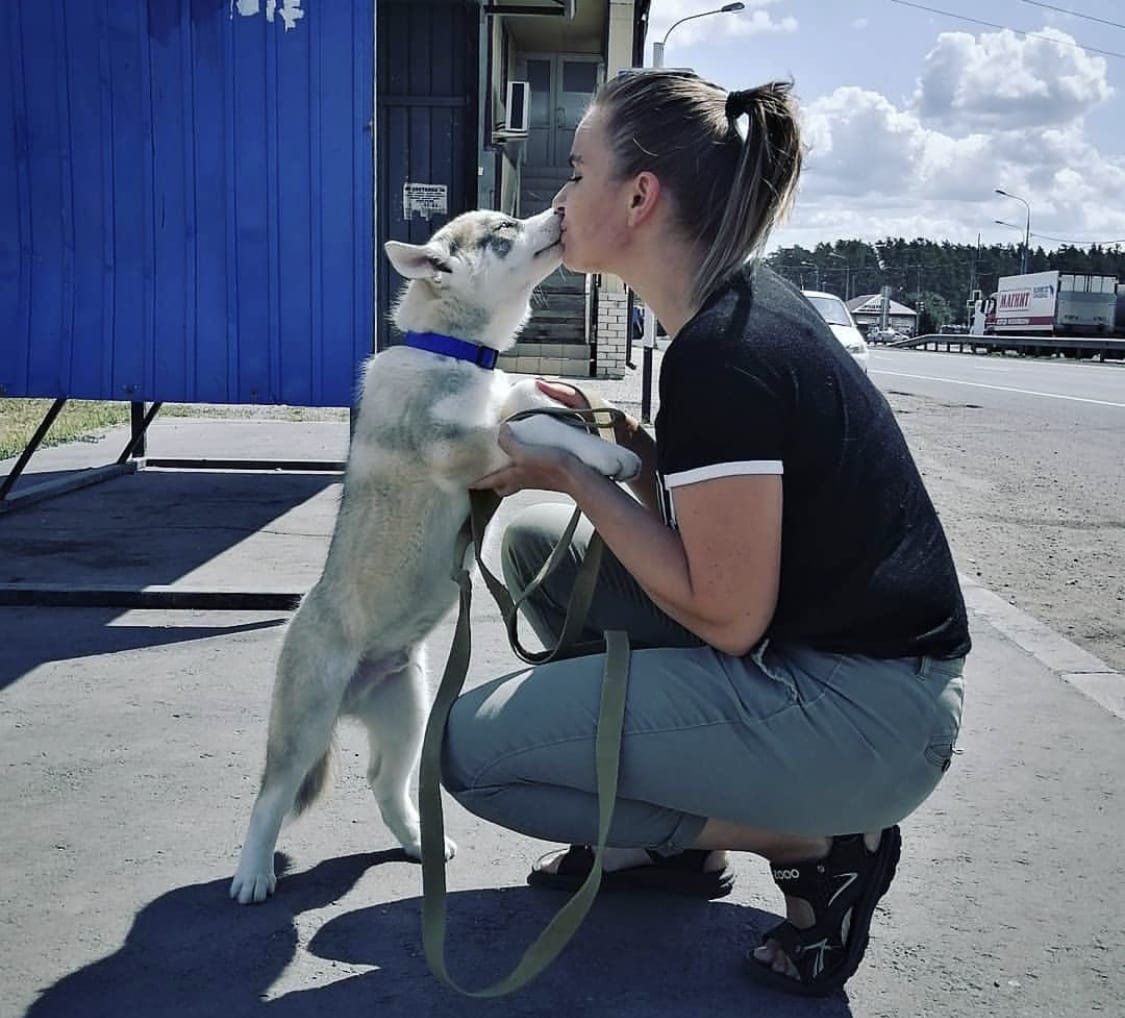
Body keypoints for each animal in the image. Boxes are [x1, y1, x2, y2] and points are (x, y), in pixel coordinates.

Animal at [231, 208, 639, 904]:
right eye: (505, 228)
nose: (561, 209)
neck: (456, 354)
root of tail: (355, 693)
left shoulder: (503, 403)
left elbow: (533, 398)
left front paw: (596, 420)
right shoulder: (469, 447)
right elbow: (538, 426)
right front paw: (609, 454)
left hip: (409, 714)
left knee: (384, 783)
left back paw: (420, 843)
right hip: (305, 719)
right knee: (270, 794)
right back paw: (252, 873)